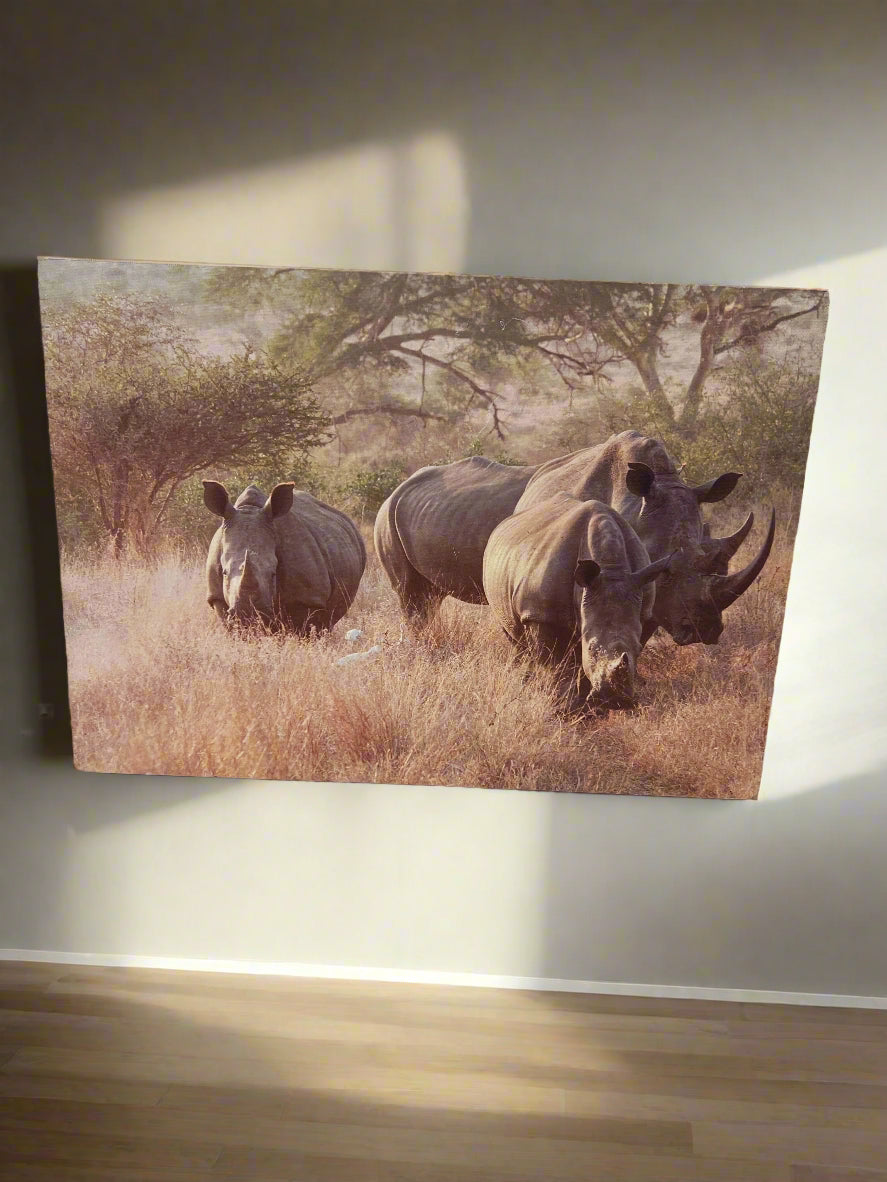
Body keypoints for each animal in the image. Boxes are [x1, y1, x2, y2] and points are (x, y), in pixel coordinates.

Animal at [375, 430, 774, 646]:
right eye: (667, 572)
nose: (707, 630)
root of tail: (397, 488)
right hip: (385, 516)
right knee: (413, 597)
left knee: (430, 597)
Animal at [483, 493, 672, 711]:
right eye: (590, 647)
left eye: (639, 648)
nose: (616, 701)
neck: (611, 568)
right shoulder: (539, 613)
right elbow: (556, 665)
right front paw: (562, 706)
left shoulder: (641, 609)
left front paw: (592, 709)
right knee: (516, 639)